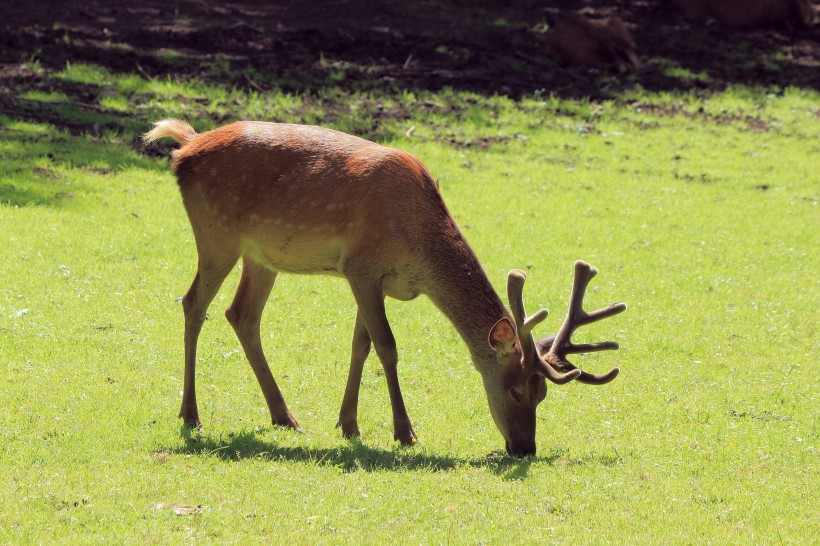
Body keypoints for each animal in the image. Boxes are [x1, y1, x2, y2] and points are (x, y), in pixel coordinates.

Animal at [143, 119, 628, 454]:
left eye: (543, 394)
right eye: (516, 390)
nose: (525, 448)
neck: (419, 246)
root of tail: (184, 148)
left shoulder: (370, 277)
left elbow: (361, 344)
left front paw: (348, 423)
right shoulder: (360, 267)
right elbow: (388, 346)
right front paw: (405, 431)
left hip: (262, 256)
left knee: (241, 314)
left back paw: (285, 416)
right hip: (217, 234)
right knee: (193, 304)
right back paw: (191, 414)